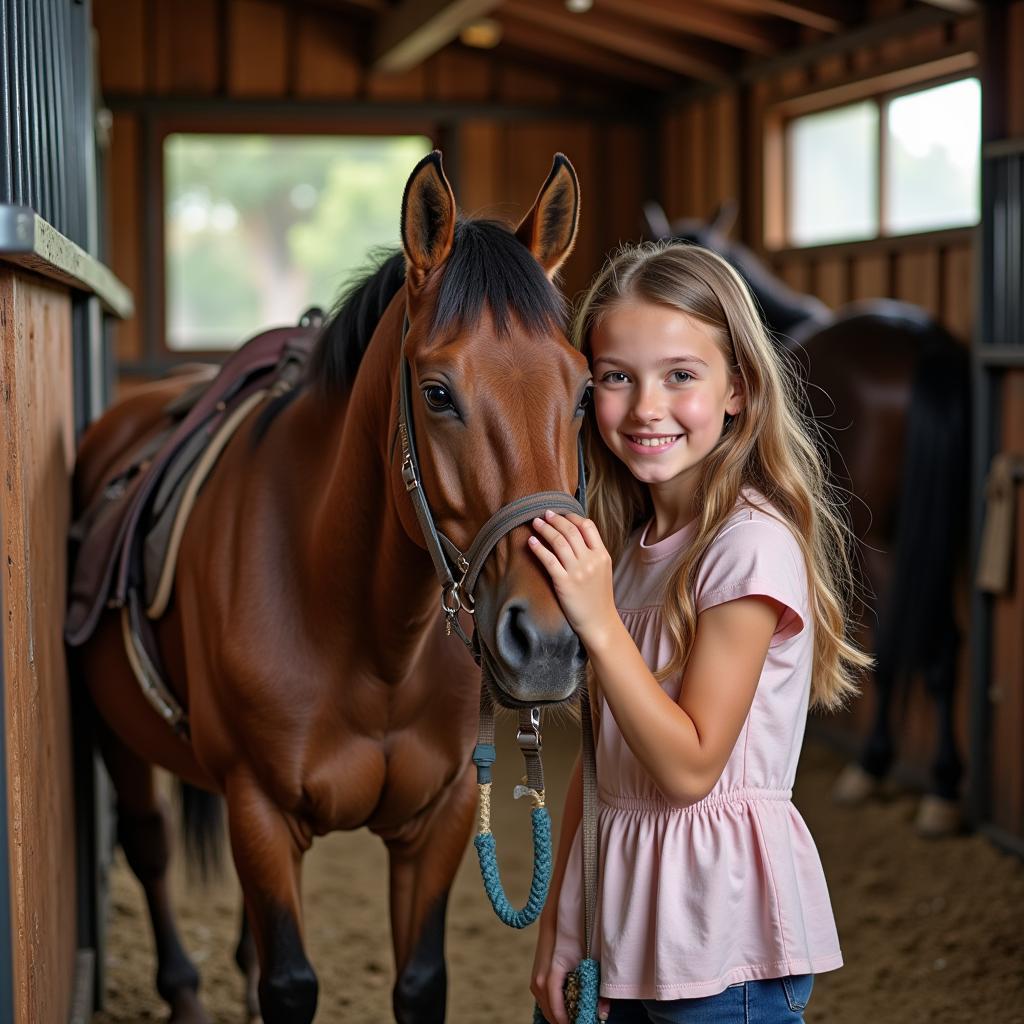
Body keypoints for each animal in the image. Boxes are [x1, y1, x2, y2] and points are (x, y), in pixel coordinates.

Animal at [68, 153, 589, 1024]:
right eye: (437, 392)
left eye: (584, 392)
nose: (546, 644)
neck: (368, 635)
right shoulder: (261, 810)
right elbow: (289, 983)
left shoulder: (440, 817)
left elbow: (417, 982)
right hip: (118, 735)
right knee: (149, 846)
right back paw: (185, 991)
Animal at [643, 201, 970, 839]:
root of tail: (923, 342)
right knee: (941, 643)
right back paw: (942, 788)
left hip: (879, 540)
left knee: (895, 638)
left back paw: (874, 767)